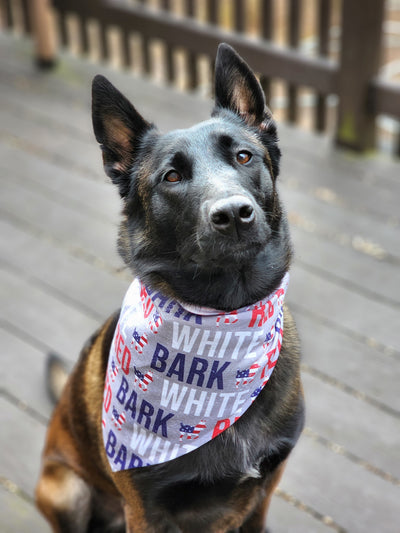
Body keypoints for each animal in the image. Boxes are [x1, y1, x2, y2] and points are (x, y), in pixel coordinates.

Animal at [36, 42, 304, 532]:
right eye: (172, 177)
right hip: (65, 489)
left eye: (244, 157)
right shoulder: (146, 511)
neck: (226, 316)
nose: (233, 214)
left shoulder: (266, 487)